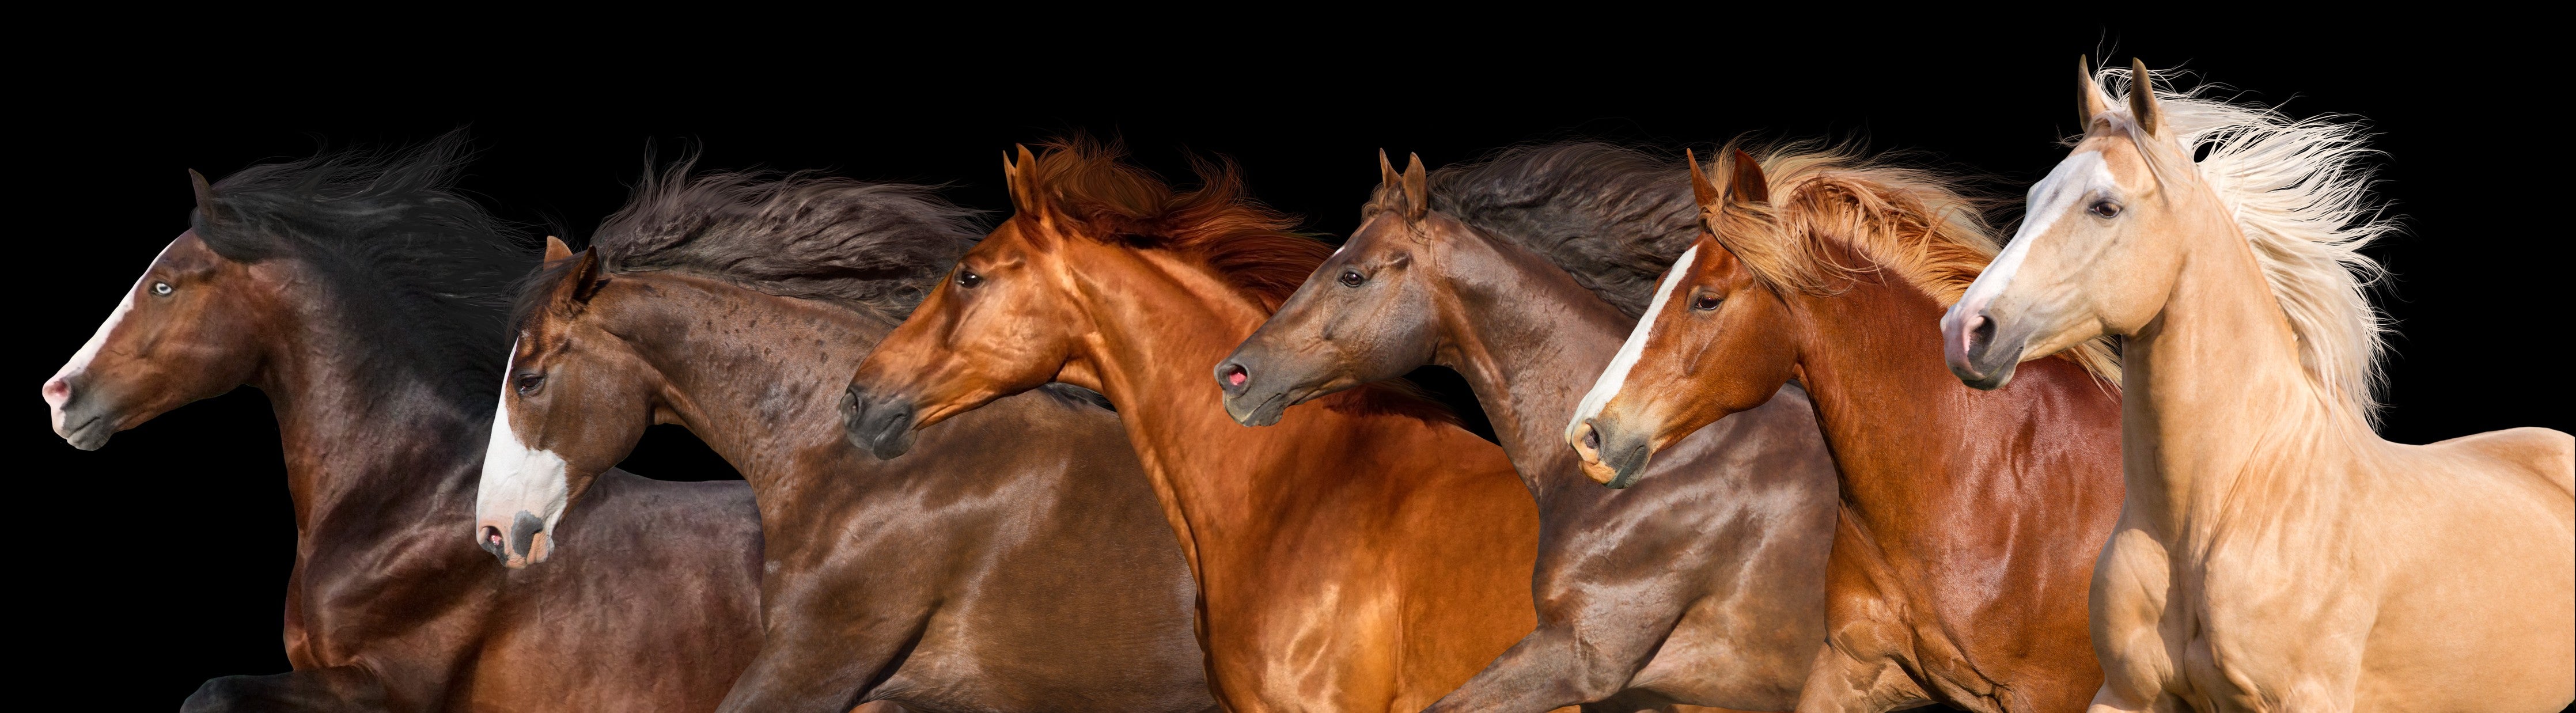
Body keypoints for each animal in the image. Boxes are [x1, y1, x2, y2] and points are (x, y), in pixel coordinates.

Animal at [1562, 141, 2126, 712]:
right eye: (1658, 286)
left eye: (1707, 299)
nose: (1589, 435)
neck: (1997, 484)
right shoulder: (1854, 665)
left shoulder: (2047, 694)